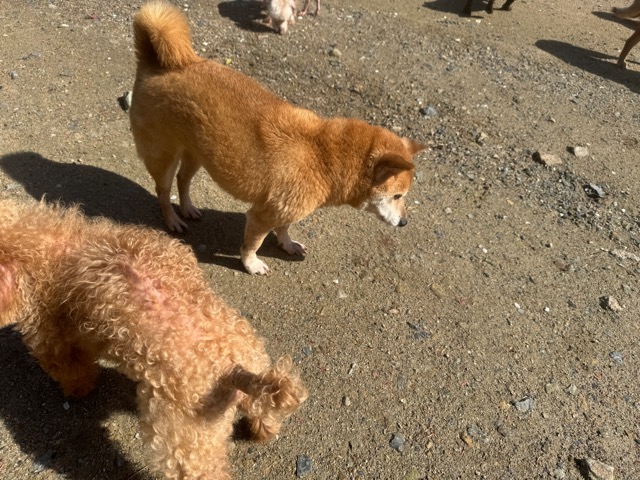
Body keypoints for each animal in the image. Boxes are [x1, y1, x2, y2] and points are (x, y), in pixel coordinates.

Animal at [0, 198, 307, 480]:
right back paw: (262, 429)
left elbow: (72, 370)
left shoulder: (52, 338)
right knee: (263, 410)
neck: (53, 242)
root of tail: (231, 368)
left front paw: (77, 391)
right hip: (255, 366)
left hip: (183, 436)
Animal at [129, 1, 425, 275]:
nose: (405, 223)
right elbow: (253, 244)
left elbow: (284, 228)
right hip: (164, 155)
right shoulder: (262, 215)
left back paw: (188, 208)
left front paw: (287, 244)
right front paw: (251, 264)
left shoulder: (286, 209)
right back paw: (172, 220)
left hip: (198, 153)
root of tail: (159, 64)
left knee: (183, 180)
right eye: (397, 196)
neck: (325, 155)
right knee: (163, 191)